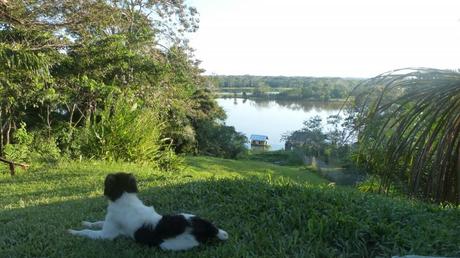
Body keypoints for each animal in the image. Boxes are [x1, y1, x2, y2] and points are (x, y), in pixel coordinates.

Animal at [68, 172, 228, 251]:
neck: (126, 197)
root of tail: (209, 229)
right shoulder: (111, 225)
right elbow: (97, 222)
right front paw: (86, 222)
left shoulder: (107, 235)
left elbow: (87, 232)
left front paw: (73, 232)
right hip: (188, 214)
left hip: (167, 245)